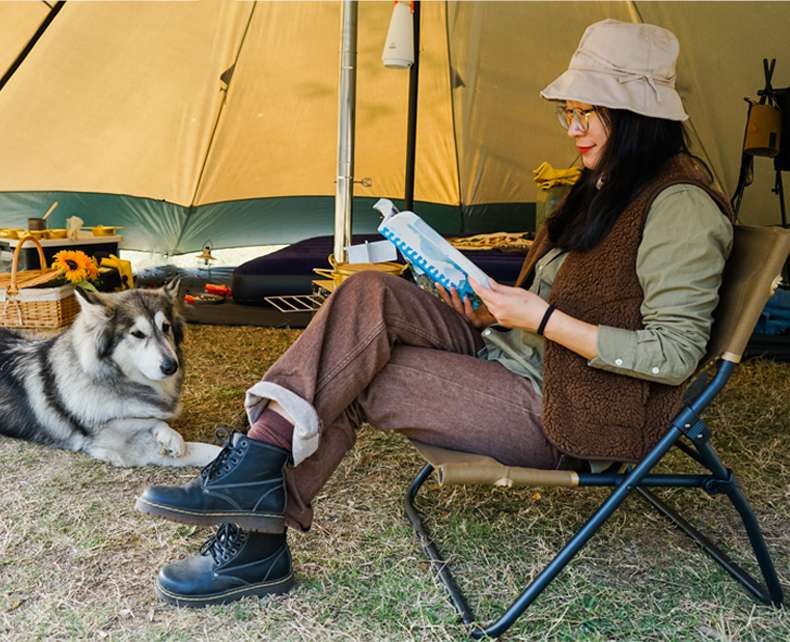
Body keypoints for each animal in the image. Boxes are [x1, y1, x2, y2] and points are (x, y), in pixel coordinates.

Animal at [0, 280, 221, 464]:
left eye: (165, 327)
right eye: (137, 334)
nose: (171, 366)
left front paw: (166, 435)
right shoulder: (123, 448)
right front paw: (172, 437)